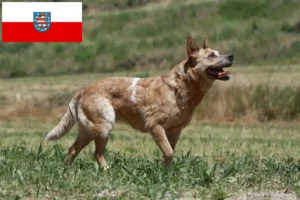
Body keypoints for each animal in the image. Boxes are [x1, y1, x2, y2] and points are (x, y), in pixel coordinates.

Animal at [45, 36, 234, 169]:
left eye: (219, 53)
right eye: (211, 55)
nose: (232, 56)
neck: (182, 87)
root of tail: (85, 88)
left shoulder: (175, 130)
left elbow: (169, 153)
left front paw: (165, 174)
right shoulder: (154, 126)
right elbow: (169, 152)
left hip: (89, 131)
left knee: (72, 149)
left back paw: (67, 171)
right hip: (104, 126)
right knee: (97, 154)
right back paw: (107, 170)